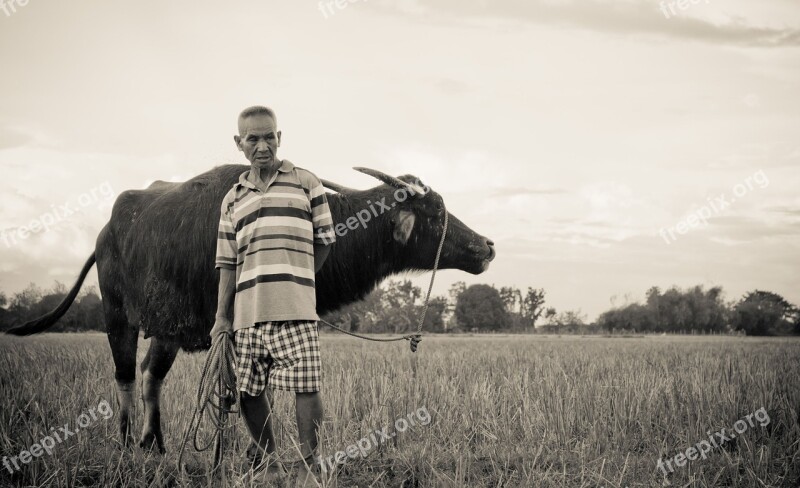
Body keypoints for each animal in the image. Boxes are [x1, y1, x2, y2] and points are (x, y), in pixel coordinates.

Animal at [6, 165, 494, 454]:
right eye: (435, 211)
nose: (487, 245)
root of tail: (106, 232)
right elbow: (238, 394)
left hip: (166, 330)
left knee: (149, 376)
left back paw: (156, 444)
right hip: (117, 317)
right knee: (125, 377)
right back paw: (127, 444)